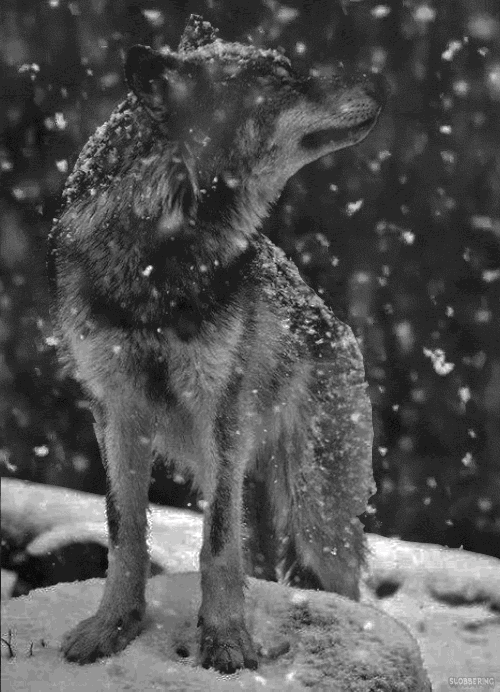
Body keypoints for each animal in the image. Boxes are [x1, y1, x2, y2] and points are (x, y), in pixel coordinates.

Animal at [49, 14, 386, 673]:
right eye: (282, 79)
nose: (377, 82)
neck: (159, 261)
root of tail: (334, 321)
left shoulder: (220, 409)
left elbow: (217, 546)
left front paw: (227, 639)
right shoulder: (114, 414)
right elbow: (125, 537)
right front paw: (111, 628)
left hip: (315, 511)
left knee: (340, 586)